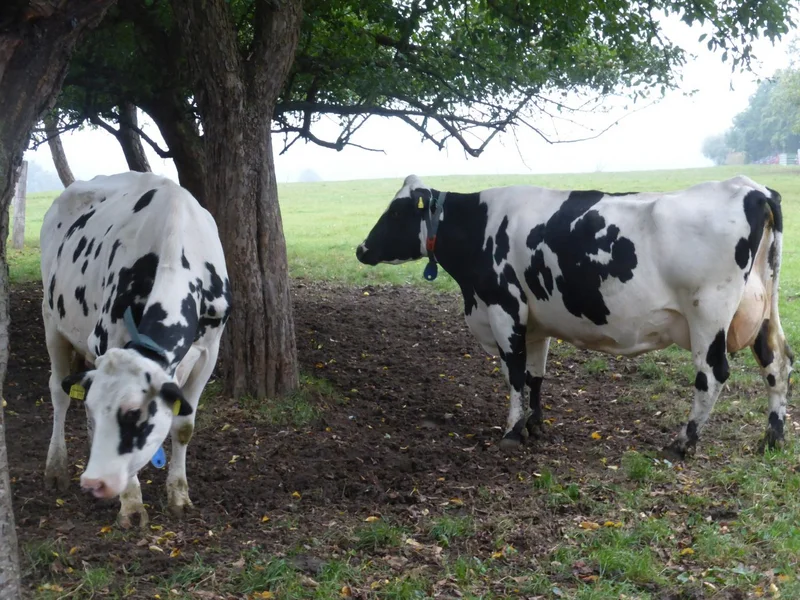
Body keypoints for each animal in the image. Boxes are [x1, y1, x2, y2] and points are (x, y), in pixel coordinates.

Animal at [41, 171, 231, 528]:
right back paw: (56, 468)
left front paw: (179, 496)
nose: (95, 482)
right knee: (59, 392)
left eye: (133, 412)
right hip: (52, 321)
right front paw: (131, 504)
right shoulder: (104, 340)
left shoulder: (209, 352)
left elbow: (184, 426)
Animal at [356, 174, 793, 459]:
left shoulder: (504, 307)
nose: (361, 249)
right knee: (777, 363)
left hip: (708, 312)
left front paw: (512, 431)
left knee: (712, 374)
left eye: (396, 213)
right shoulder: (536, 322)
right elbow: (535, 375)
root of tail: (750, 188)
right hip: (761, 310)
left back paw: (682, 443)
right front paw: (534, 425)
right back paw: (772, 439)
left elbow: (514, 374)